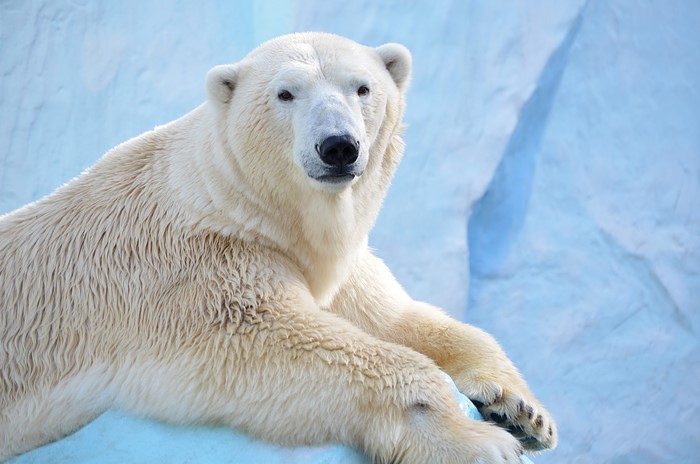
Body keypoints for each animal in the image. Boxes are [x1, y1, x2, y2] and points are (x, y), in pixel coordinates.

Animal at [0, 32, 556, 463]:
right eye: (286, 93)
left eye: (362, 87)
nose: (338, 146)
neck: (241, 206)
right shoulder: (195, 271)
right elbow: (277, 340)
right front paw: (480, 442)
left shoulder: (333, 268)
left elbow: (396, 317)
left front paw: (522, 413)